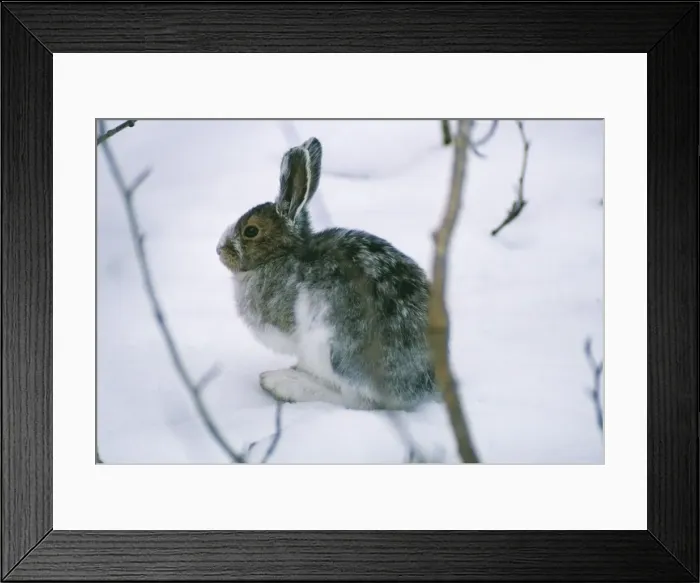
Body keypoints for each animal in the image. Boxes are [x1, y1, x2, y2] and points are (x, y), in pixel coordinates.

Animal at [216, 136, 440, 411]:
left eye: (251, 231)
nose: (219, 250)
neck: (281, 255)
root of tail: (415, 387)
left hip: (330, 349)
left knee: (357, 401)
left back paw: (281, 383)